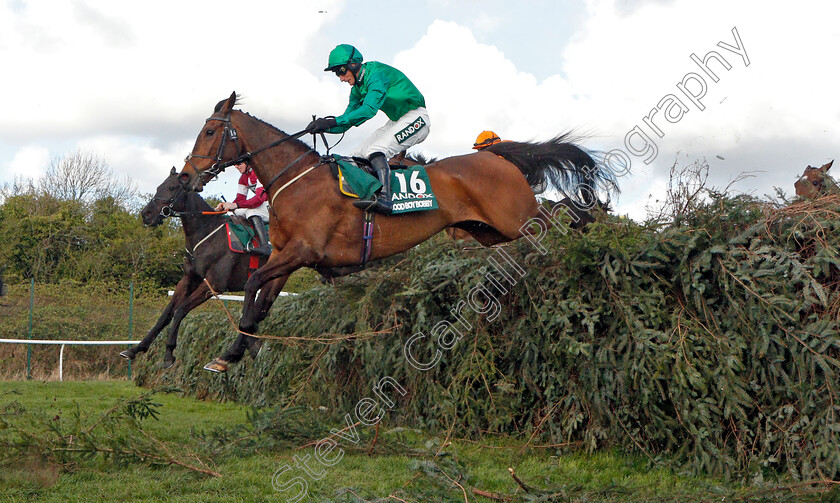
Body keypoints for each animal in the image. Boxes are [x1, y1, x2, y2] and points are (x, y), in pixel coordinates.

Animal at [177, 92, 616, 372]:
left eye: (210, 133)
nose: (186, 176)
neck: (296, 180)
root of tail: (497, 155)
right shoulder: (286, 258)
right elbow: (261, 303)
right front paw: (234, 352)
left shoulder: (303, 252)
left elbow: (251, 286)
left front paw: (236, 348)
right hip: (489, 230)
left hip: (516, 217)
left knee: (560, 217)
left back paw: (593, 240)